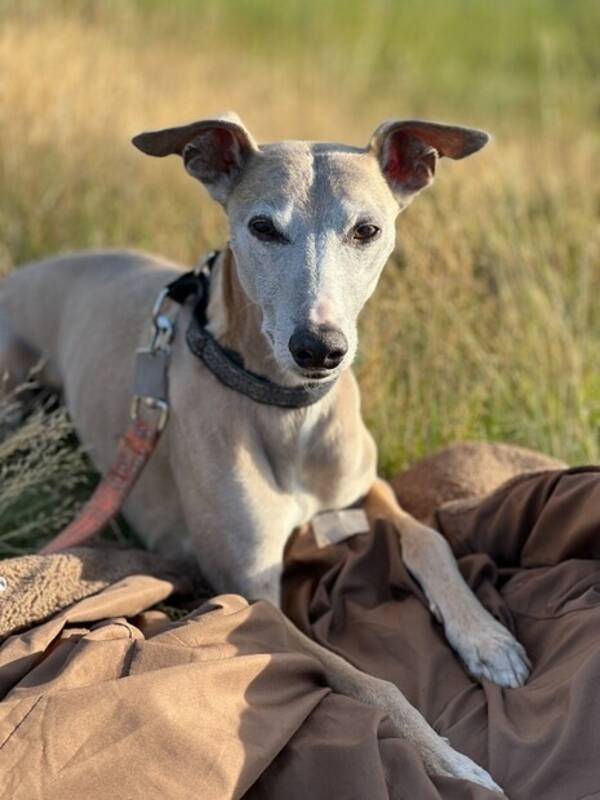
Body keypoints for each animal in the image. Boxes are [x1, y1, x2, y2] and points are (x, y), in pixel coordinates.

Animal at [0, 114, 532, 792]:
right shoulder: (251, 596)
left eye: (367, 229)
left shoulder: (366, 486)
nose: (319, 348)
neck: (289, 414)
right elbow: (368, 680)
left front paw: (487, 639)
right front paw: (452, 760)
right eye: (262, 227)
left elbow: (426, 537)